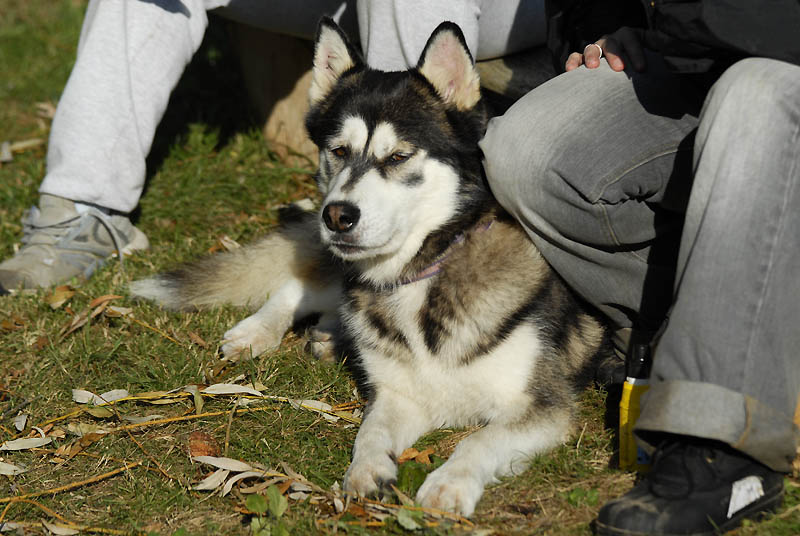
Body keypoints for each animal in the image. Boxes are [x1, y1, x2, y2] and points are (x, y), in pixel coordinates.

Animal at [130, 18, 608, 516]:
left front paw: (449, 484)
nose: (337, 215)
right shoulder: (398, 395)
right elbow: (371, 432)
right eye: (339, 151)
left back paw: (329, 334)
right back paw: (258, 331)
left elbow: (479, 440)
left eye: (398, 156)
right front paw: (365, 471)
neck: (423, 274)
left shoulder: (541, 405)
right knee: (304, 281)